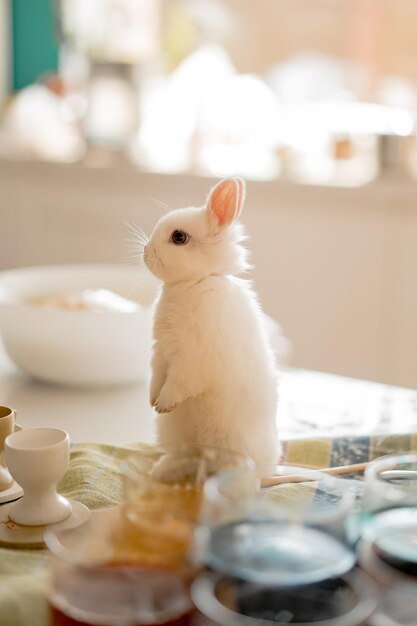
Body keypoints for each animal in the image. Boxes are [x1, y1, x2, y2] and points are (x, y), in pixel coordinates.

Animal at [143, 178, 280, 476]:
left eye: (179, 237)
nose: (144, 252)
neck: (195, 282)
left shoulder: (192, 358)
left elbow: (178, 382)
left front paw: (164, 404)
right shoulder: (160, 352)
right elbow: (157, 376)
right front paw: (153, 401)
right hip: (175, 436)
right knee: (182, 459)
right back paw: (160, 472)